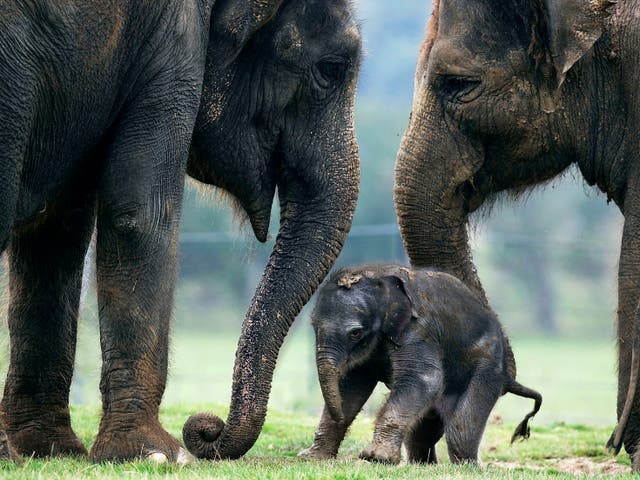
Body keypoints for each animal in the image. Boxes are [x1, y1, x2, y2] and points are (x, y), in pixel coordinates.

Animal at [0, 0, 360, 464]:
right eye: (330, 69)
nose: (206, 428)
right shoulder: (173, 39)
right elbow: (141, 212)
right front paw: (154, 454)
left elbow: (56, 231)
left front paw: (49, 451)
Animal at [298, 264, 540, 464]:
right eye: (313, 326)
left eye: (355, 333)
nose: (338, 416)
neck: (377, 276)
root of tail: (508, 376)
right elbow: (351, 386)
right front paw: (312, 458)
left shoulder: (418, 329)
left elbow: (424, 379)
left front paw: (376, 458)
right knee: (425, 430)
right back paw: (422, 464)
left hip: (488, 367)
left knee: (460, 427)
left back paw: (467, 466)